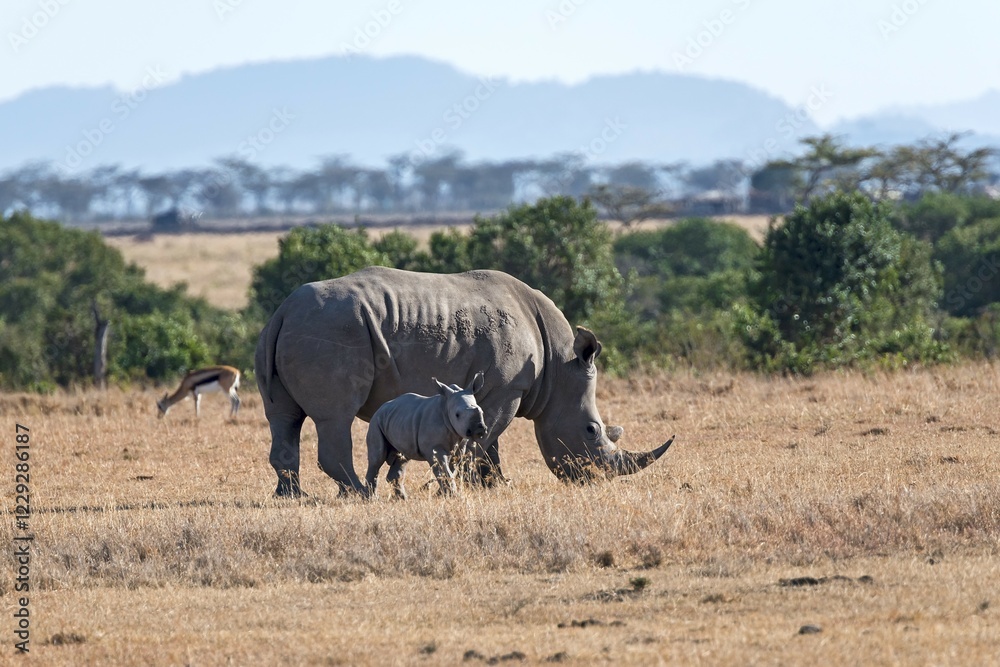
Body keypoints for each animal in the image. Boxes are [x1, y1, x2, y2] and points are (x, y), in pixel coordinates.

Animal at [255, 266, 674, 497]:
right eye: (591, 430)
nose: (592, 481)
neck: (558, 367)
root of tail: (283, 310)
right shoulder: (507, 389)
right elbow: (486, 439)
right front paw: (473, 484)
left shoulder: (498, 391)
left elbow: (490, 442)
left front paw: (497, 485)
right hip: (332, 331)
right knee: (335, 417)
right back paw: (356, 494)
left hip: (295, 330)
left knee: (284, 417)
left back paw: (292, 497)